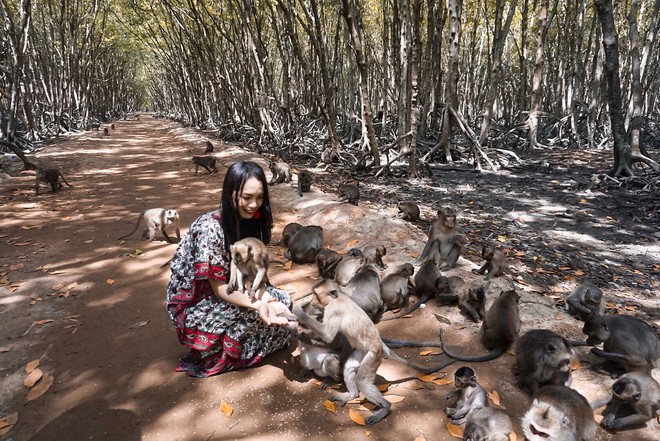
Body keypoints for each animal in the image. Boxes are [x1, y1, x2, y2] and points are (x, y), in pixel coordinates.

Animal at [296, 284, 458, 424]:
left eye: (316, 295)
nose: (312, 300)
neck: (339, 297)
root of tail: (379, 343)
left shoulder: (333, 309)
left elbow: (328, 337)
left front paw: (298, 314)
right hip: (362, 351)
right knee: (349, 368)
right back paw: (352, 395)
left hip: (374, 356)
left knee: (361, 380)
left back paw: (385, 407)